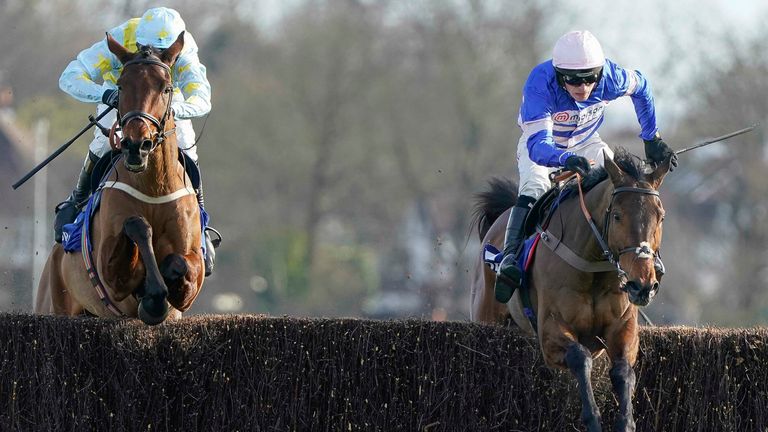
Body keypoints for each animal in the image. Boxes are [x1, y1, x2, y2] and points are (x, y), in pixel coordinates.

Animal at [35, 32, 206, 326]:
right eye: (121, 85)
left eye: (166, 88)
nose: (137, 145)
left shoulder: (192, 277)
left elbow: (178, 264)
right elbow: (136, 224)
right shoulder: (110, 271)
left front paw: (159, 283)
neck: (154, 189)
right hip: (52, 304)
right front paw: (151, 295)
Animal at [468, 149, 672, 432]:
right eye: (617, 215)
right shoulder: (550, 330)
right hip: (486, 316)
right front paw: (593, 419)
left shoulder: (623, 328)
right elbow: (579, 357)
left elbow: (623, 371)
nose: (642, 285)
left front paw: (626, 422)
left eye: (660, 216)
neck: (592, 267)